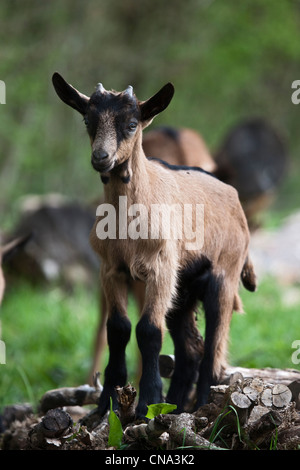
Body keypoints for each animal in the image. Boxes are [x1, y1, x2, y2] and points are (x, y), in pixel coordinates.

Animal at [52, 73, 256, 418]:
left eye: (132, 124)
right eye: (88, 120)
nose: (101, 158)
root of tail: (235, 198)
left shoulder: (160, 269)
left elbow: (148, 330)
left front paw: (146, 402)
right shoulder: (112, 270)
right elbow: (118, 328)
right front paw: (106, 404)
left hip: (223, 276)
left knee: (214, 347)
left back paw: (201, 404)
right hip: (183, 289)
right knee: (190, 349)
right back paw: (175, 408)